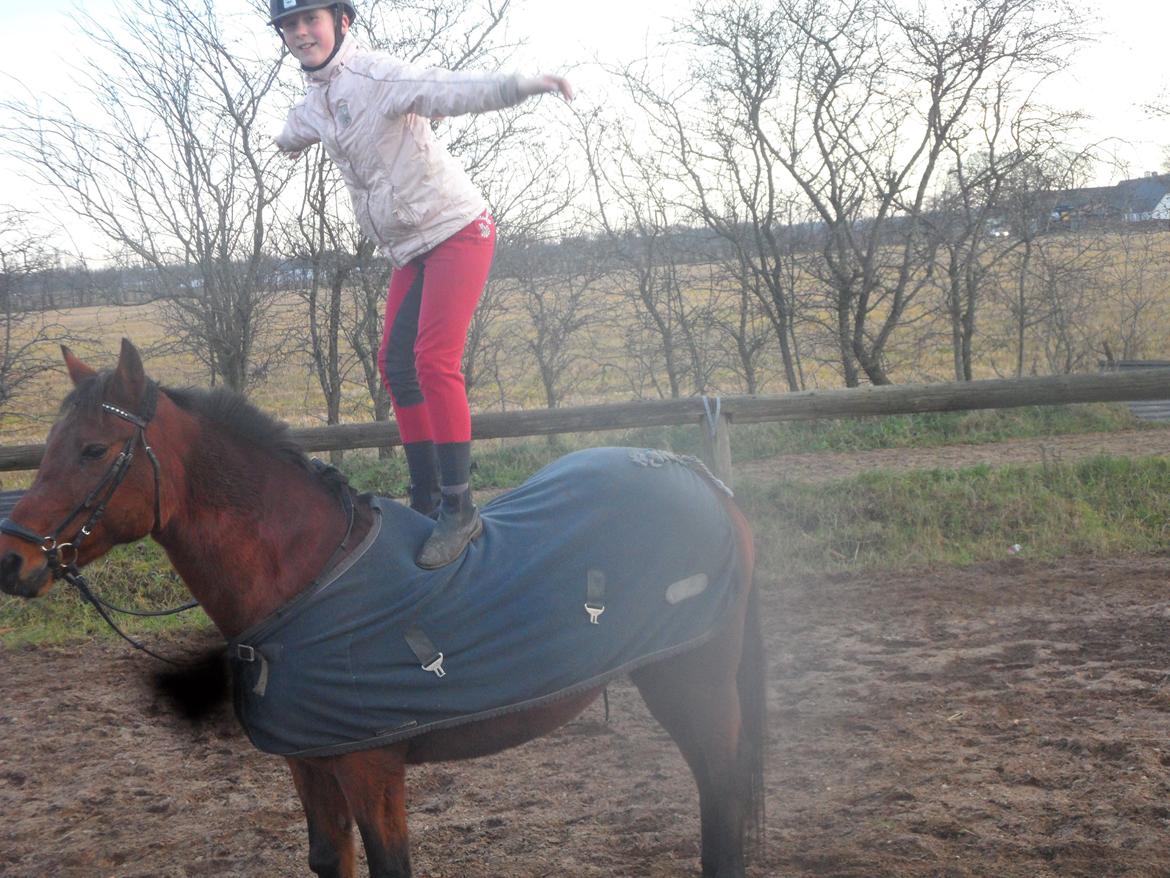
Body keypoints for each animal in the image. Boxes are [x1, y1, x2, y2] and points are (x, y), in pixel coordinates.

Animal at [0, 339, 766, 878]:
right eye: (48, 448)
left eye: (93, 449)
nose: (12, 560)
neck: (307, 575)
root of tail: (701, 477)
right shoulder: (311, 761)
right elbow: (329, 859)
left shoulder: (371, 769)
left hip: (693, 679)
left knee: (721, 803)